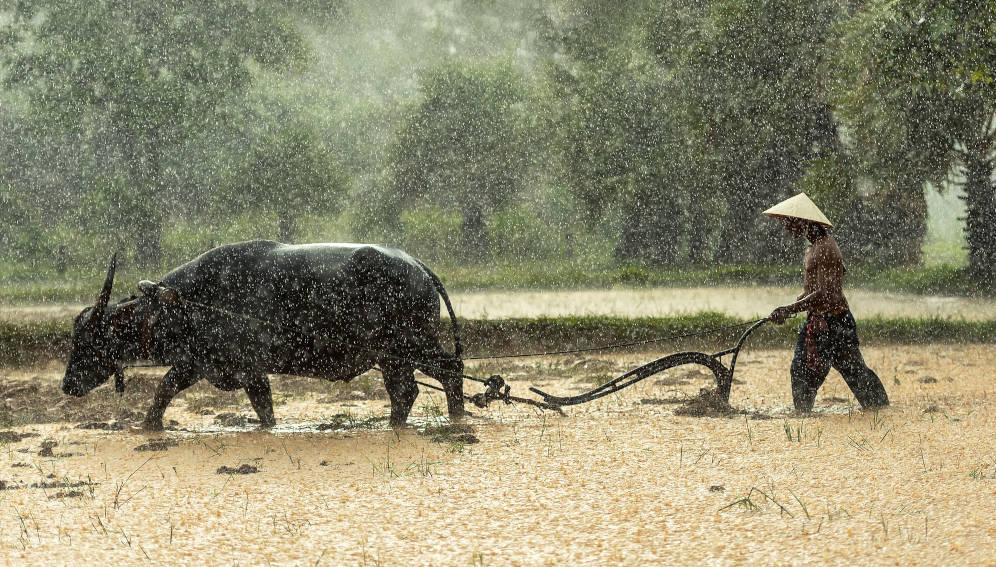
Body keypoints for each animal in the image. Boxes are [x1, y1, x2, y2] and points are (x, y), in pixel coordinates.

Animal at [62, 241, 465, 430]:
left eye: (88, 341)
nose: (67, 385)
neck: (187, 302)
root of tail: (417, 266)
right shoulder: (201, 364)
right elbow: (164, 391)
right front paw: (147, 428)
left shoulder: (245, 368)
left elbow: (262, 408)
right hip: (393, 357)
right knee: (406, 392)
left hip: (414, 344)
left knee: (450, 370)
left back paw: (456, 418)